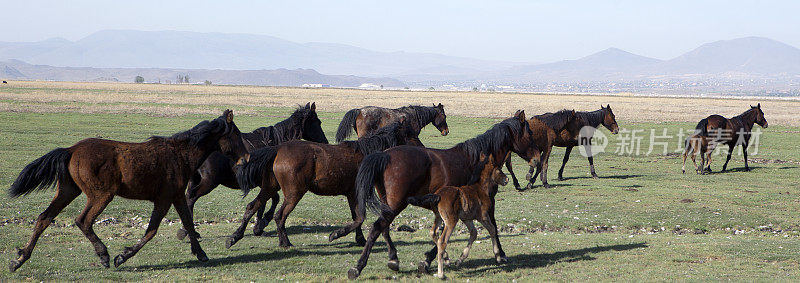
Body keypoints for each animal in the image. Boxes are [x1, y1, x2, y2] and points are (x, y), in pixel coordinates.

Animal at [7, 110, 245, 272]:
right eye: (237, 135)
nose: (246, 157)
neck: (179, 155)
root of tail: (71, 150)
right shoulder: (163, 199)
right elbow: (152, 230)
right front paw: (122, 257)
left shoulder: (176, 196)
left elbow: (187, 221)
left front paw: (201, 254)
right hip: (100, 195)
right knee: (83, 220)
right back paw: (104, 255)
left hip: (68, 191)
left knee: (44, 218)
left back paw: (18, 259)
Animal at [178, 103, 328, 241]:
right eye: (318, 122)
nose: (325, 142)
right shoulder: (267, 183)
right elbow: (271, 200)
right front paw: (261, 224)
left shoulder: (265, 183)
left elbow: (265, 201)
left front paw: (259, 225)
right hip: (209, 182)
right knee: (191, 197)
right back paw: (187, 232)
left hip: (195, 180)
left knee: (188, 198)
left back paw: (189, 231)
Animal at [230, 118, 424, 250]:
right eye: (409, 134)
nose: (422, 148)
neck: (365, 154)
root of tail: (277, 149)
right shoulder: (356, 192)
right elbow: (360, 217)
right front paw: (336, 234)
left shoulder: (351, 193)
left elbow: (356, 217)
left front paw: (359, 239)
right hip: (294, 193)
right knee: (279, 215)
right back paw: (285, 242)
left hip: (270, 187)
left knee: (252, 206)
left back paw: (234, 237)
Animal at [340, 111, 540, 280]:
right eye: (530, 134)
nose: (537, 159)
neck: (479, 159)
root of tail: (384, 155)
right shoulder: (486, 202)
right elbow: (492, 226)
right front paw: (501, 254)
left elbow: (441, 233)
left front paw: (435, 259)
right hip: (396, 204)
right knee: (376, 228)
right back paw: (357, 267)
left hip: (387, 203)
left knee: (384, 228)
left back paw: (393, 259)